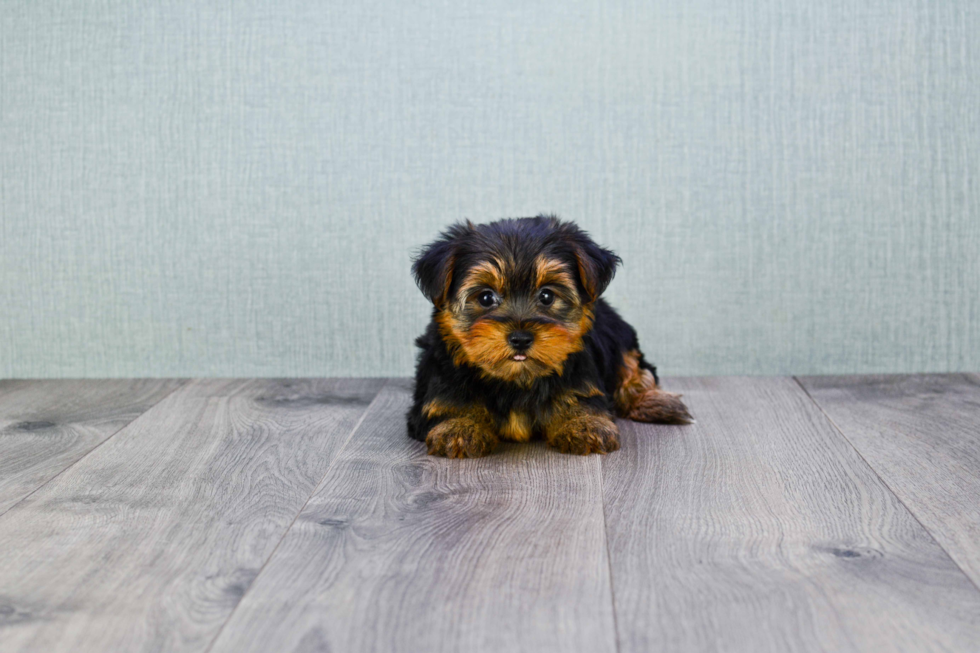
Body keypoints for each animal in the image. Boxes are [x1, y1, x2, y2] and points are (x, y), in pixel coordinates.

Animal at [406, 216, 688, 456]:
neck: (516, 380)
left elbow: (580, 396)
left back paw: (657, 403)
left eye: (547, 296)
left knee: (633, 367)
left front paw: (584, 423)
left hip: (618, 333)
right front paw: (459, 427)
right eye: (486, 298)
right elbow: (448, 401)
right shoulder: (440, 377)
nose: (520, 338)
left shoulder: (581, 372)